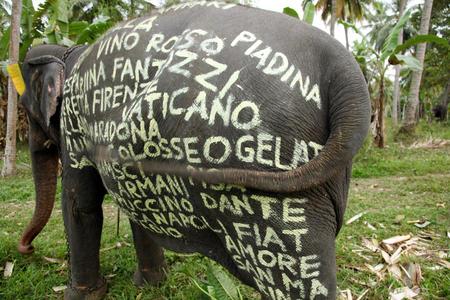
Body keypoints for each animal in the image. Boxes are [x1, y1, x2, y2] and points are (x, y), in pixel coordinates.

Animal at [18, 1, 370, 298]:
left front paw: (80, 295)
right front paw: (151, 284)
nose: (27, 250)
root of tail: (345, 69)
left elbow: (80, 204)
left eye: (24, 107)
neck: (69, 52)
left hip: (275, 189)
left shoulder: (73, 125)